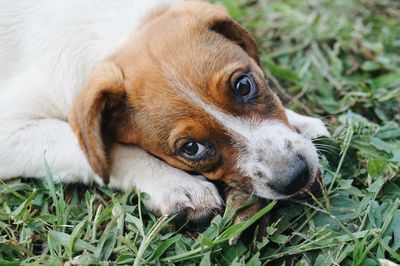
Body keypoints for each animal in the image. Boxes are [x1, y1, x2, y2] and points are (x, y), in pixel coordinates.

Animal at [0, 0, 330, 224]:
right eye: (192, 148)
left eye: (244, 85)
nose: (295, 176)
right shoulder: (9, 132)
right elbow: (99, 150)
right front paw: (175, 185)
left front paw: (300, 122)